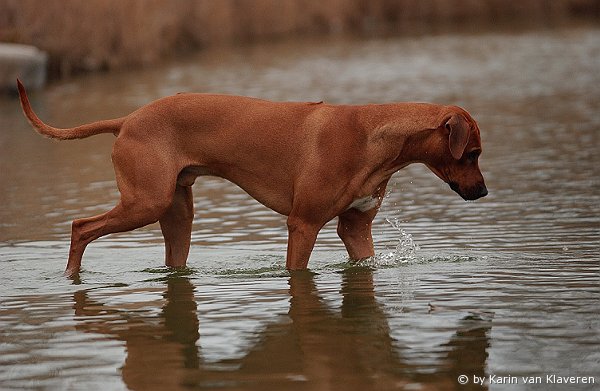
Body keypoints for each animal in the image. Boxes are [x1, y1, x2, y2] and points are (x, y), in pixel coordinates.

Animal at [17, 79, 488, 276]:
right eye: (473, 154)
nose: (483, 192)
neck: (374, 137)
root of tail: (127, 119)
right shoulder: (303, 224)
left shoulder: (356, 229)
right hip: (144, 202)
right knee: (81, 226)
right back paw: (70, 275)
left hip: (176, 213)